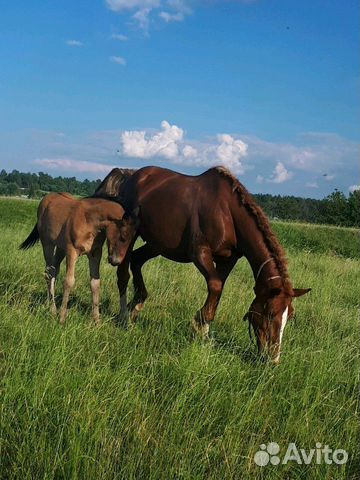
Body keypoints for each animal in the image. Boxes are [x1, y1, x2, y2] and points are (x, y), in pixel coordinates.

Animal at [19, 193, 138, 324]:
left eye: (133, 238)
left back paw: (49, 304)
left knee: (54, 271)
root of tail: (47, 197)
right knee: (49, 273)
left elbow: (95, 283)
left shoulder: (95, 254)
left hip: (61, 248)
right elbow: (69, 281)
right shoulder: (72, 252)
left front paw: (97, 320)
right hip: (47, 244)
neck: (89, 221)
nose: (116, 261)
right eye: (123, 236)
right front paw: (62, 318)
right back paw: (53, 310)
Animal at [93, 167, 310, 362]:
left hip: (157, 244)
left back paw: (137, 304)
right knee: (123, 272)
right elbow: (214, 286)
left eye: (290, 316)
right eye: (270, 313)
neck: (227, 212)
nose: (273, 359)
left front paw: (204, 332)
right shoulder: (200, 253)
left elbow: (218, 290)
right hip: (130, 235)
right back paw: (124, 317)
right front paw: (200, 326)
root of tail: (130, 176)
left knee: (137, 260)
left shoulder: (227, 259)